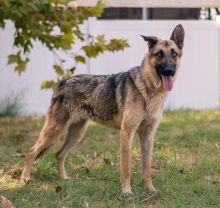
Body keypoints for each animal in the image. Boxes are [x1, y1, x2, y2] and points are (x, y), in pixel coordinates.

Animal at [21, 24, 185, 193]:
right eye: (159, 54)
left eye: (174, 54)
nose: (169, 71)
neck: (148, 87)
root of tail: (62, 82)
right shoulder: (127, 134)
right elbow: (126, 168)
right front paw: (127, 191)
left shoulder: (148, 136)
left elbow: (147, 168)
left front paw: (150, 189)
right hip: (55, 131)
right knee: (31, 152)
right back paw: (25, 178)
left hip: (76, 134)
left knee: (59, 154)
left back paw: (63, 178)